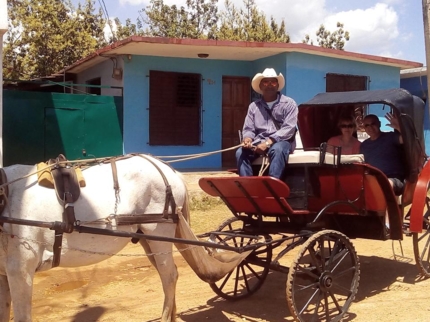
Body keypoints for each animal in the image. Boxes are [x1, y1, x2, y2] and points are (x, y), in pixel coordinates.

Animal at [0, 155, 188, 320]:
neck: (6, 195)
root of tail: (167, 169)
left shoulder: (21, 272)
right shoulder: (4, 275)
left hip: (159, 234)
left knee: (169, 276)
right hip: (146, 239)